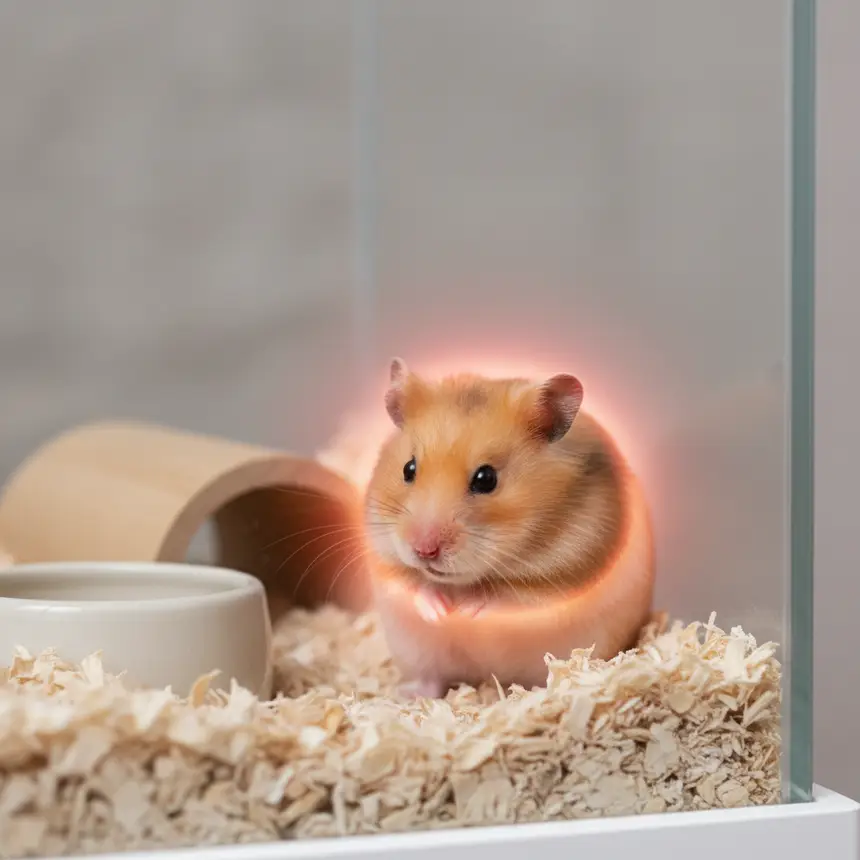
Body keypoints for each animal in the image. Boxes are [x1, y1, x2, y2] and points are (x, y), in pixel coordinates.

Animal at [363, 358, 655, 698]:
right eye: (408, 469)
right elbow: (409, 582)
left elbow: (511, 594)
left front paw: (465, 610)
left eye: (486, 478)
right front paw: (439, 611)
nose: (424, 550)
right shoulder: (382, 555)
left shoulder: (573, 568)